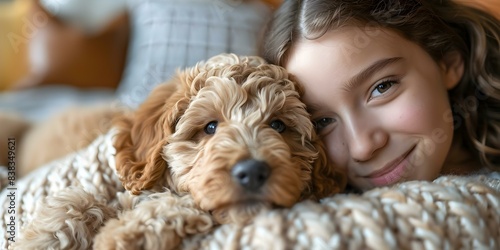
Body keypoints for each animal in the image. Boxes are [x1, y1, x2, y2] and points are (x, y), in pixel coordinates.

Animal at [13, 53, 346, 249]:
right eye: (210, 127)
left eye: (278, 125)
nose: (252, 172)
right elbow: (78, 201)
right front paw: (38, 241)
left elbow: (183, 204)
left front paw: (124, 233)